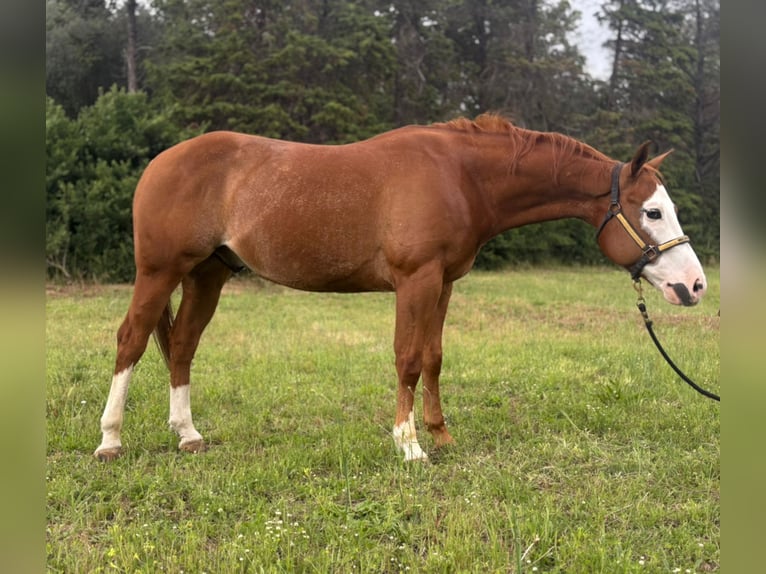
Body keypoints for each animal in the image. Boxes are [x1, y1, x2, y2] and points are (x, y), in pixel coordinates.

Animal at [94, 114, 707, 462]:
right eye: (652, 211)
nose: (694, 285)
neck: (461, 176)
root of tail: (161, 162)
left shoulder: (444, 284)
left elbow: (433, 357)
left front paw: (440, 436)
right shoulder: (416, 280)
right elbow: (407, 358)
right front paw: (409, 446)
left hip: (208, 274)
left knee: (182, 345)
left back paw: (188, 435)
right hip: (159, 272)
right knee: (130, 340)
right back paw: (111, 441)